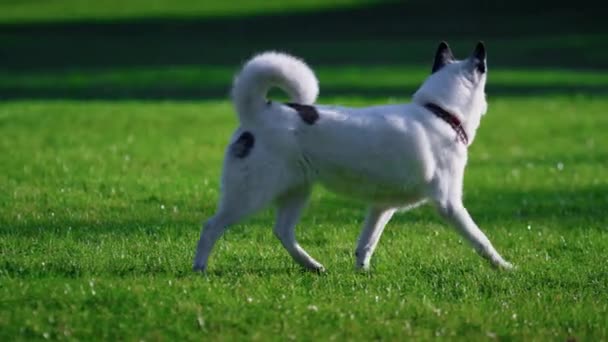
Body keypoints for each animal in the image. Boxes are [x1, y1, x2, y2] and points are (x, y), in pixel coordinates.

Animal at [192, 42, 510, 272]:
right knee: (211, 227)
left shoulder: (381, 207)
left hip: (297, 191)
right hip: (251, 195)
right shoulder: (449, 204)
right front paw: (504, 266)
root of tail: (258, 111)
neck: (440, 113)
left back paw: (312, 265)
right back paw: (200, 268)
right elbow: (481, 239)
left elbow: (367, 241)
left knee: (282, 231)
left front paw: (362, 271)